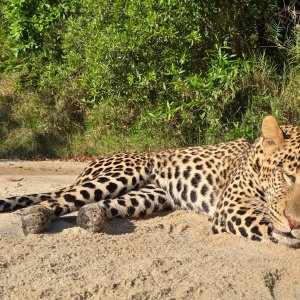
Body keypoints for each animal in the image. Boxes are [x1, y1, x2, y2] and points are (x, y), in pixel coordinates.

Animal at [0, 116, 298, 247]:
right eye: (287, 175)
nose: (294, 222)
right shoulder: (233, 206)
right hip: (124, 172)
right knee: (58, 199)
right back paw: (35, 217)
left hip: (151, 195)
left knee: (96, 205)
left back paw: (91, 217)